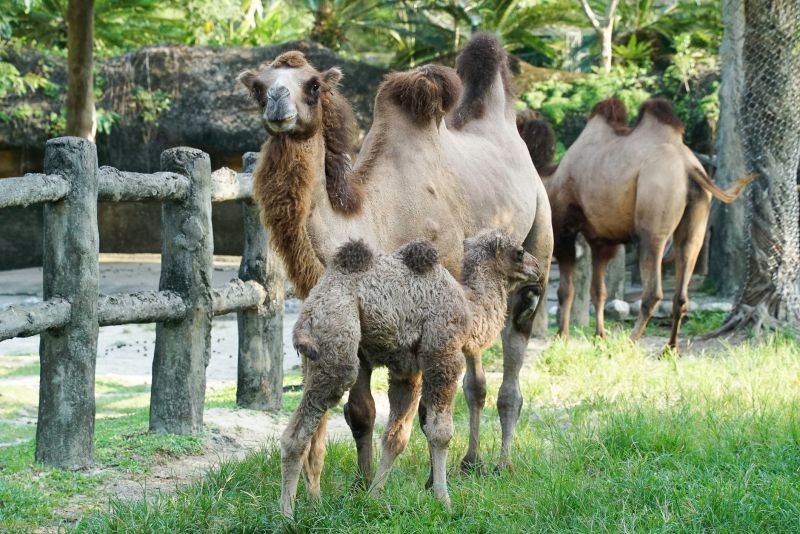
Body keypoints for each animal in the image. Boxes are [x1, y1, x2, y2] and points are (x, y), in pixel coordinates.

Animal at [234, 31, 552, 488]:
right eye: (259, 87)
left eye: (313, 85)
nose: (277, 104)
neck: (373, 220)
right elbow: (360, 411)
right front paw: (362, 484)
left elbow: (419, 409)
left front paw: (423, 484)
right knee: (476, 378)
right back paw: (471, 460)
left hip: (535, 250)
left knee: (512, 360)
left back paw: (503, 463)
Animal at [282, 231, 544, 520]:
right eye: (519, 251)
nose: (538, 269)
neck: (469, 307)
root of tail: (307, 314)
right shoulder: (442, 354)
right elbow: (440, 433)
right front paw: (444, 502)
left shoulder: (406, 372)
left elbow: (395, 438)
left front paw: (373, 499)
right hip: (338, 341)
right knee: (297, 435)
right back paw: (286, 516)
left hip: (315, 361)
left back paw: (314, 505)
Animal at [520, 97, 752, 350]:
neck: (549, 178)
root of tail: (690, 167)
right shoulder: (601, 240)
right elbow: (599, 291)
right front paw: (599, 336)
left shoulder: (565, 230)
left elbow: (566, 290)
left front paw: (562, 336)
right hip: (697, 218)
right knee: (682, 286)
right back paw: (669, 348)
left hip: (654, 218)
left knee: (653, 291)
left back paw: (630, 341)